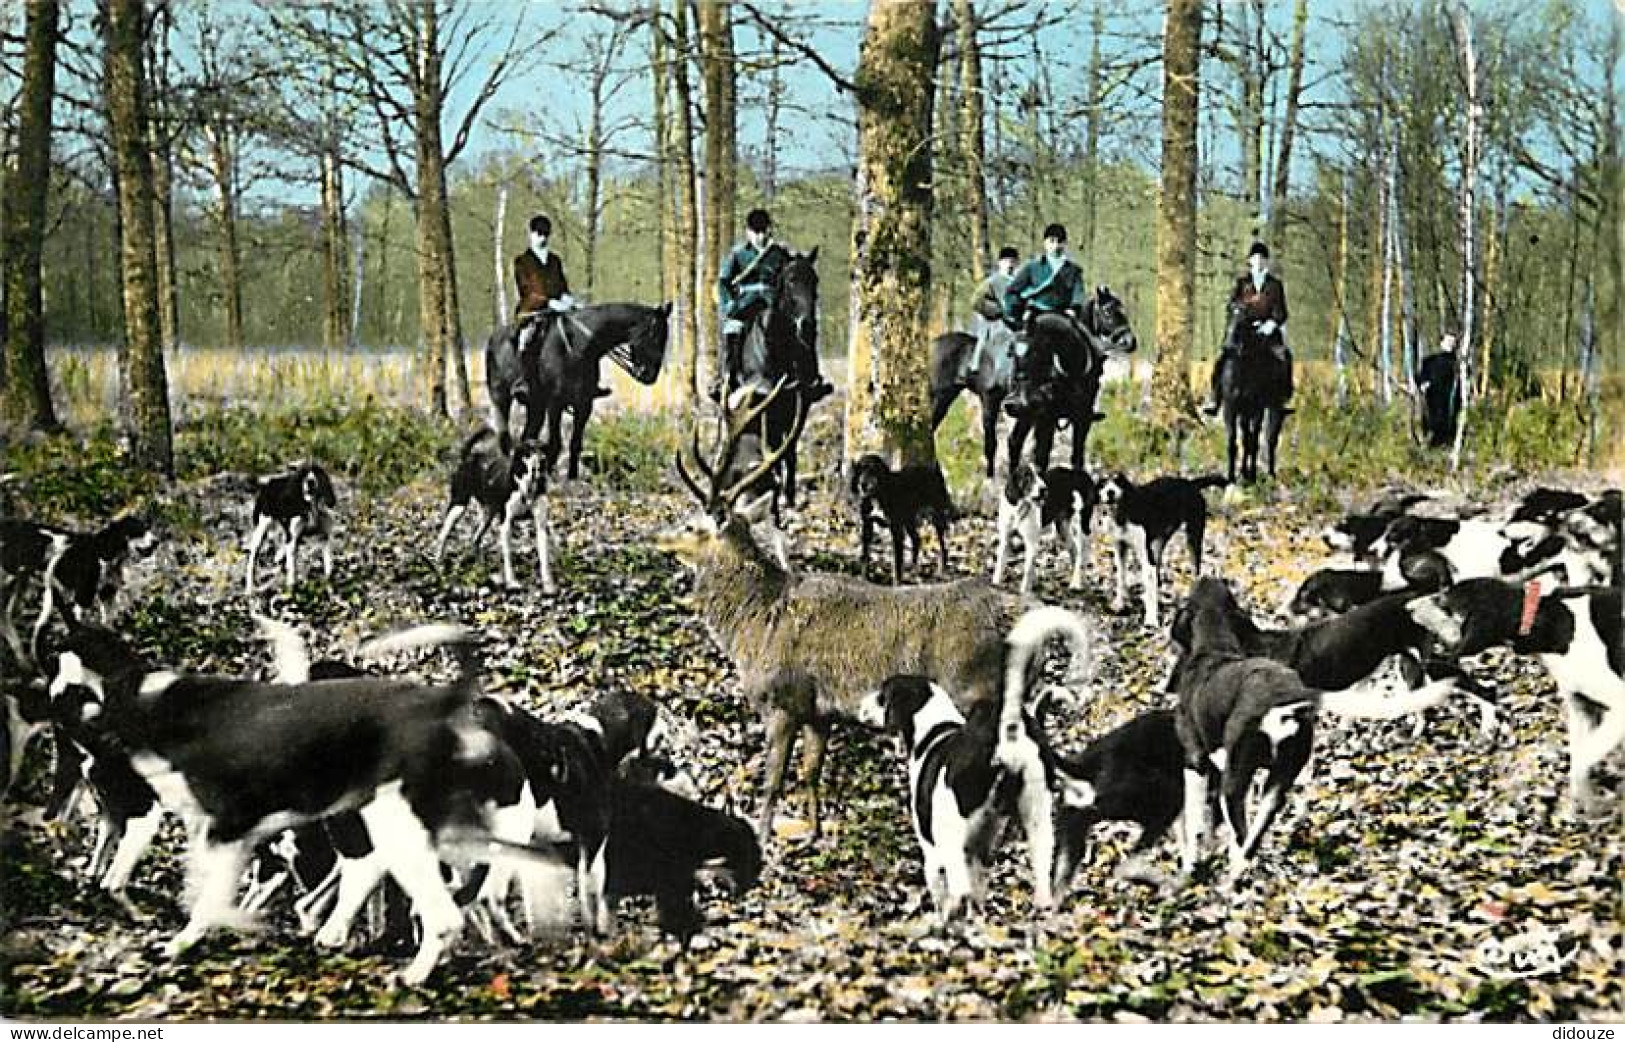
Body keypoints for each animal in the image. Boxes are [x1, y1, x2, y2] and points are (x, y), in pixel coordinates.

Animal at [481, 300, 666, 481]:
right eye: (654, 335)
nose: (650, 376)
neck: (578, 346)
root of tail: (494, 338)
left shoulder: (584, 404)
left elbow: (575, 443)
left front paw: (572, 478)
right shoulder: (555, 404)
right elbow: (555, 443)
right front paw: (552, 478)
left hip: (536, 406)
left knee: (527, 437)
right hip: (501, 399)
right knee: (505, 438)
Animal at [728, 247, 819, 507]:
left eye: (815, 280)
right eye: (790, 281)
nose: (807, 326)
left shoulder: (799, 404)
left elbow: (789, 450)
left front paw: (788, 497)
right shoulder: (763, 404)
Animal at [936, 286, 1137, 477]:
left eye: (1120, 308)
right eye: (1108, 311)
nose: (1130, 341)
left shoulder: (1081, 417)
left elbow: (1076, 457)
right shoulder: (1047, 417)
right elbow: (1042, 455)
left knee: (1012, 442)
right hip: (986, 402)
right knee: (994, 443)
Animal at [1222, 299, 1293, 481]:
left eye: (1243, 322)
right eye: (1228, 316)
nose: (1228, 347)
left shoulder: (1257, 409)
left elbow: (1254, 441)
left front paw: (1252, 474)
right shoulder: (1231, 408)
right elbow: (1233, 441)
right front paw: (1232, 476)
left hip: (1274, 407)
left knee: (1270, 439)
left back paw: (1270, 473)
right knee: (1247, 438)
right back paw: (1244, 472)